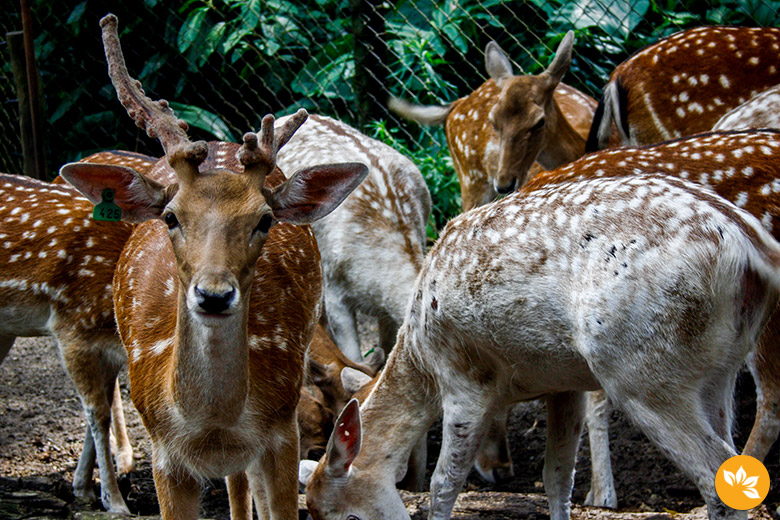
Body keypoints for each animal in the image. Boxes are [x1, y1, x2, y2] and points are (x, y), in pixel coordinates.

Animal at [58, 14, 368, 516]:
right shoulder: (165, 454)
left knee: (241, 482)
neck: (213, 423)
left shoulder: (283, 432)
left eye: (265, 220)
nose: (214, 295)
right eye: (170, 217)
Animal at [300, 131, 780, 520]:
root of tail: (751, 245)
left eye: (340, 514)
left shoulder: (464, 380)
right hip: (717, 366)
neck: (421, 357)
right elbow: (557, 477)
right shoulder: (564, 383)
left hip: (641, 369)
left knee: (716, 476)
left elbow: (444, 484)